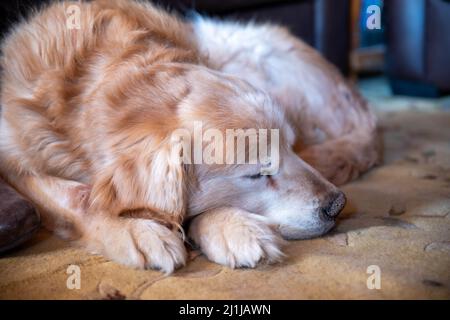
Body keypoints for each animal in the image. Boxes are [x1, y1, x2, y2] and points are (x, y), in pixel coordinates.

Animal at [0, 0, 380, 272]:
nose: (337, 204)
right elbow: (78, 197)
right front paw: (136, 231)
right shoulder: (13, 160)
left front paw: (230, 227)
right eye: (258, 173)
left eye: (289, 145)